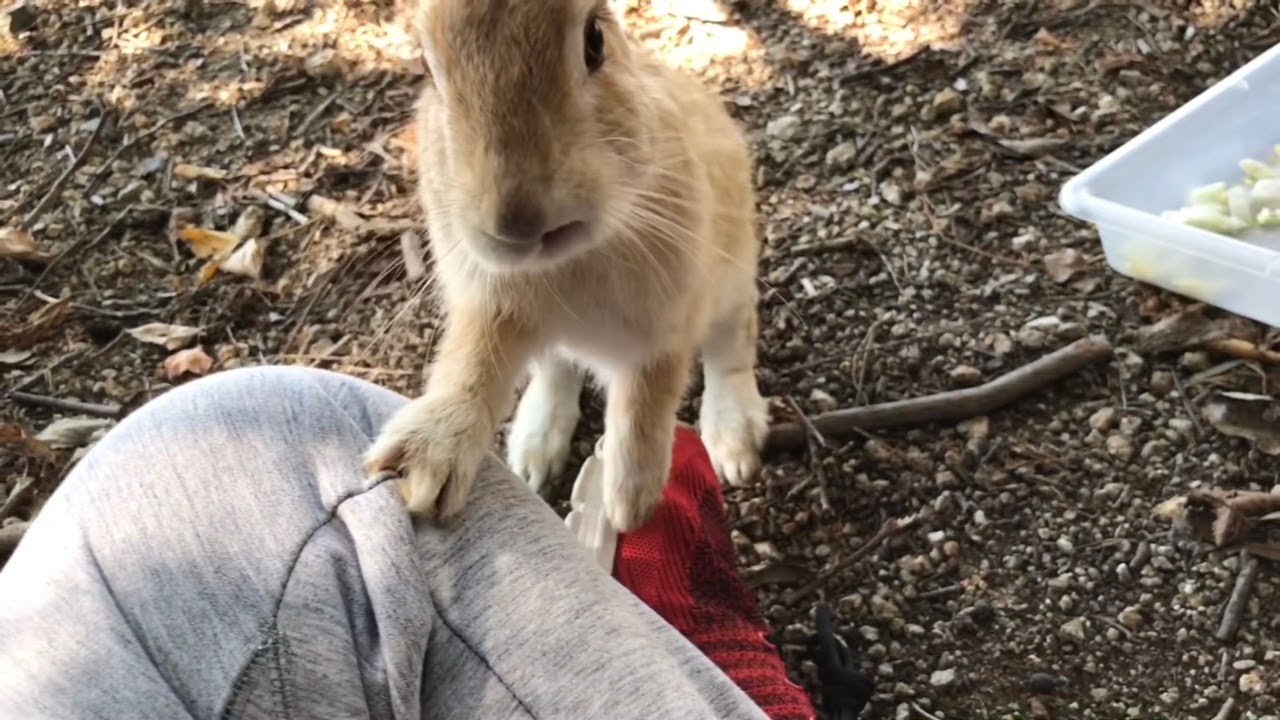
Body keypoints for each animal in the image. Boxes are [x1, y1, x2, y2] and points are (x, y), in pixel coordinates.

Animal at [363, 0, 769, 532]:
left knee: (731, 343)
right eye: (428, 69)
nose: (518, 222)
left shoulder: (665, 328)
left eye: (594, 40)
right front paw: (424, 468)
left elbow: (645, 402)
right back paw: (533, 454)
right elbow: (472, 366)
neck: (567, 260)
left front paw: (630, 503)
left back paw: (734, 441)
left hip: (733, 274)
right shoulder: (493, 306)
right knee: (555, 368)